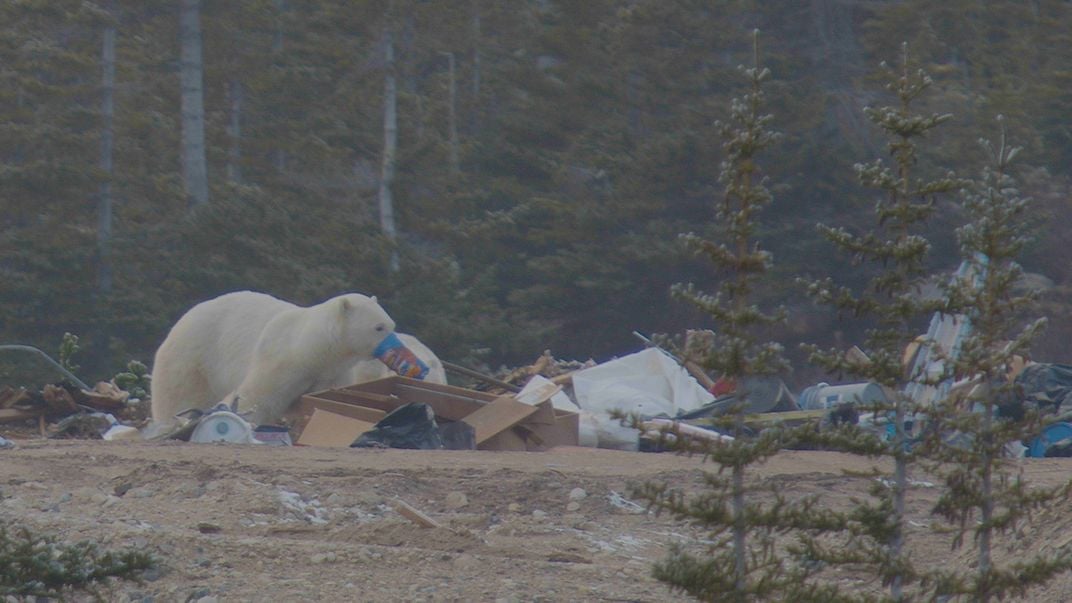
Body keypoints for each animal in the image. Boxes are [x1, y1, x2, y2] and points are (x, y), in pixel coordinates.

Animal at [146, 289, 405, 424]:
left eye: (392, 324)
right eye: (379, 327)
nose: (397, 349)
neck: (312, 349)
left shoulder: (333, 372)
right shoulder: (280, 360)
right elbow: (256, 397)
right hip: (193, 359)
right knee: (179, 396)